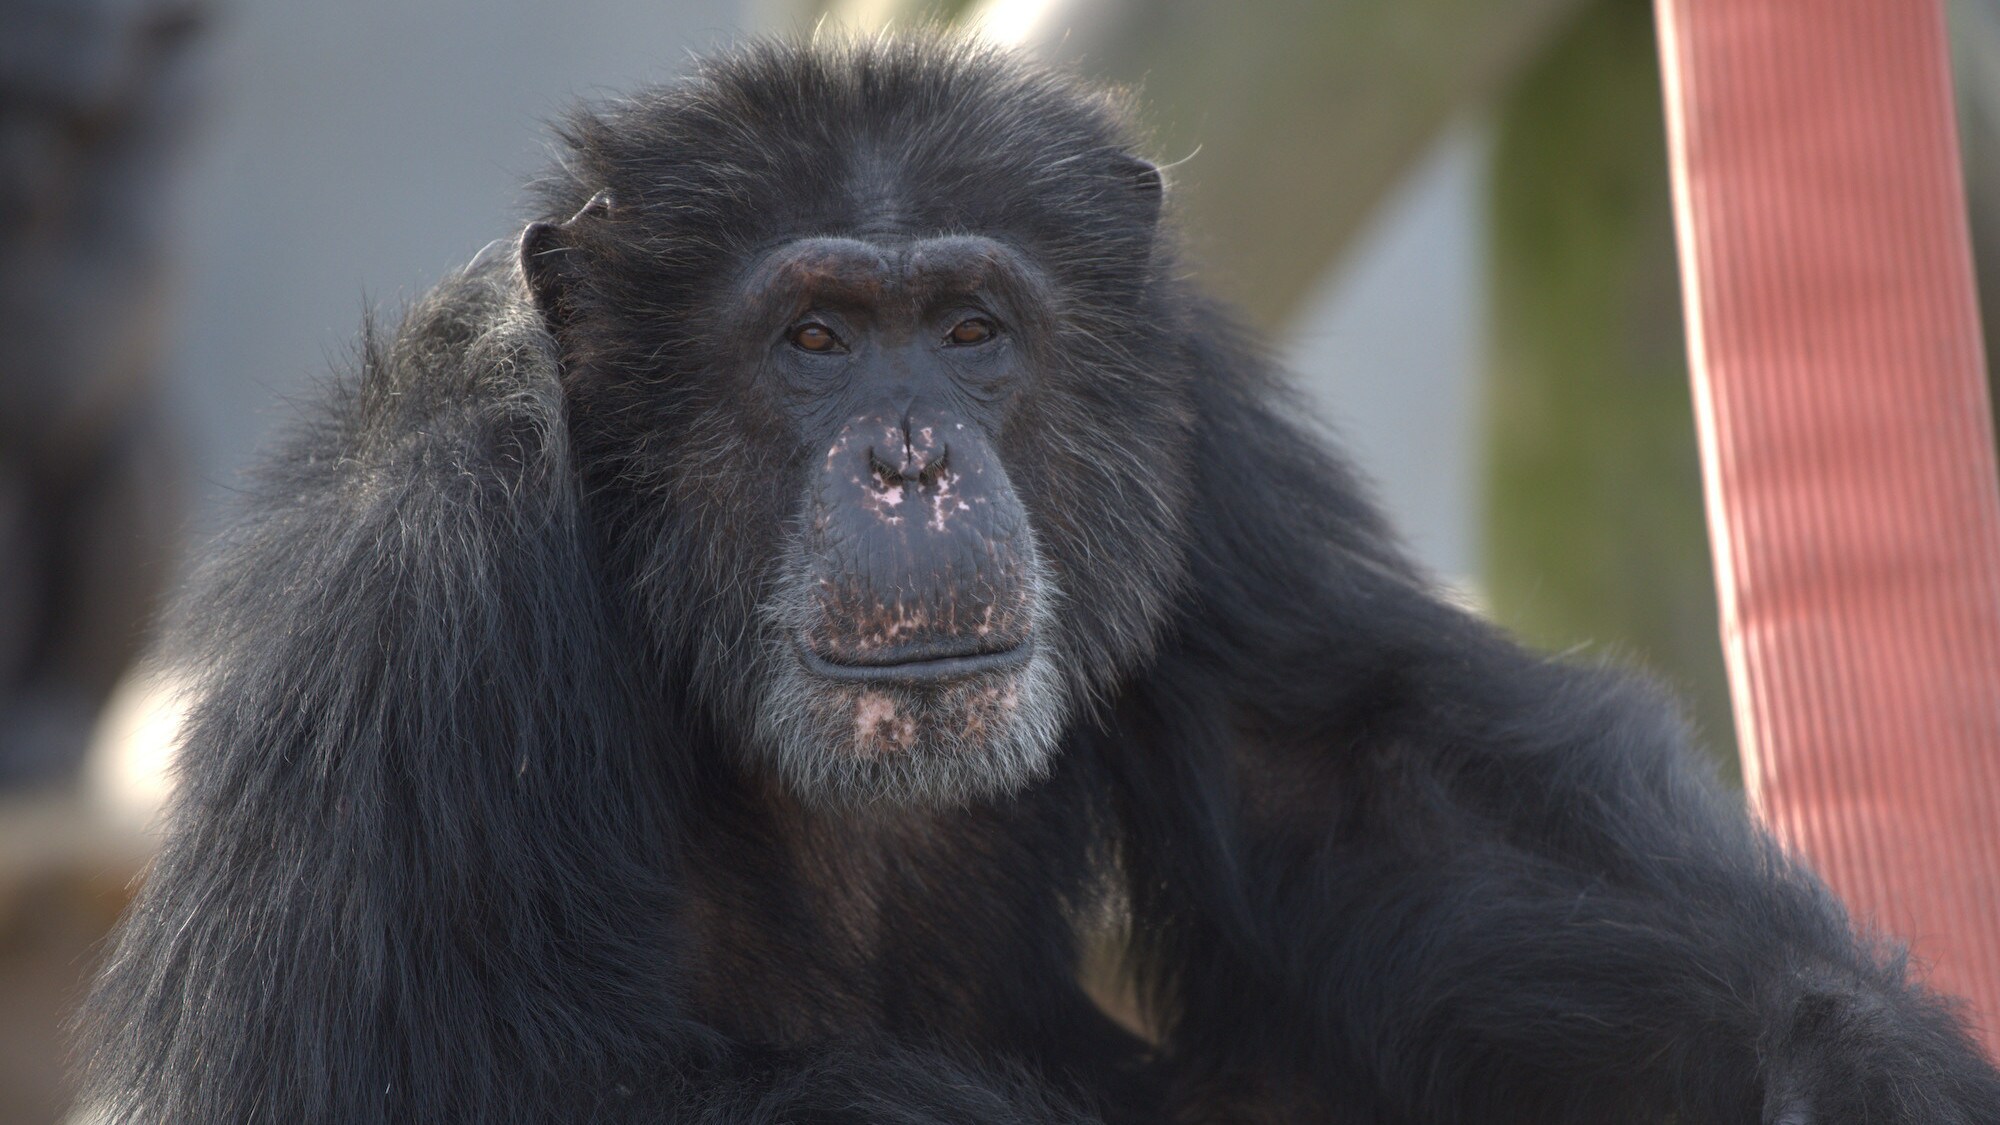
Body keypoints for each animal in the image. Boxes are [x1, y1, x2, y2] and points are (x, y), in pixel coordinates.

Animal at [74, 37, 2000, 1120]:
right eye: (815, 337)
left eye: (971, 330)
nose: (912, 455)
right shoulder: (418, 601)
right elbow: (400, 1075)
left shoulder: (1188, 407)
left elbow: (1352, 778)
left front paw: (1854, 1053)